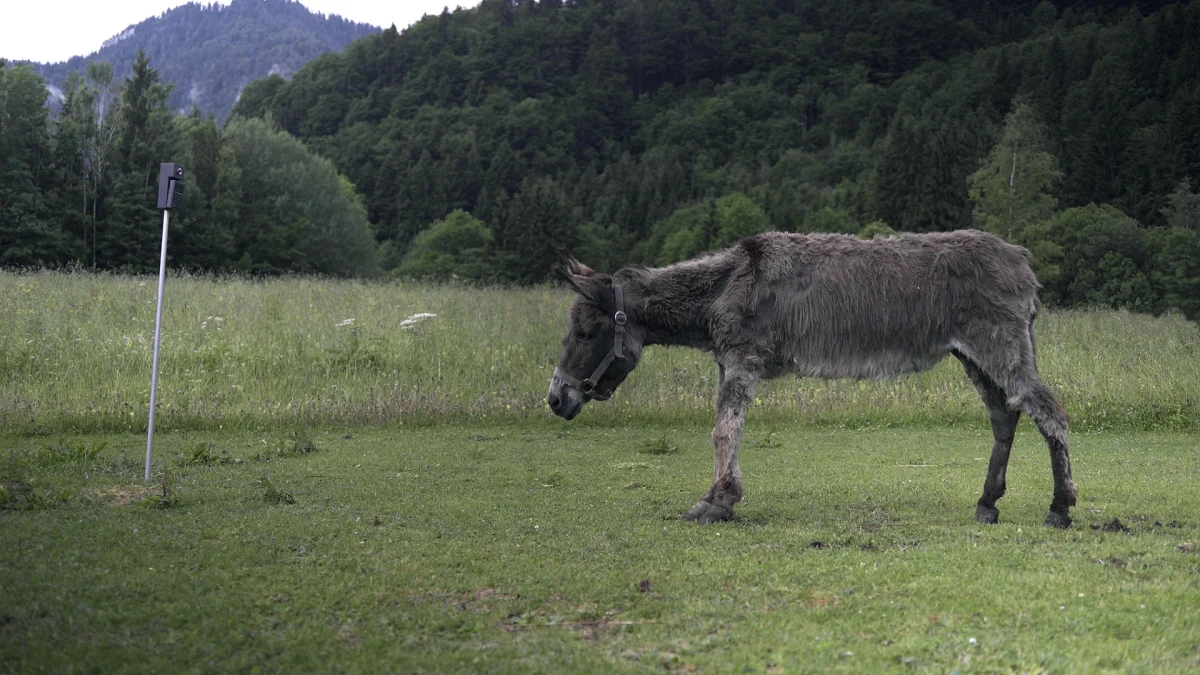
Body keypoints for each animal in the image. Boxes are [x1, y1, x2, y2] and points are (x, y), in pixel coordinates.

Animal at [547, 230, 1076, 527]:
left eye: (586, 332)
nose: (555, 399)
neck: (725, 283)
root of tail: (1020, 258)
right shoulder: (729, 362)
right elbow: (726, 430)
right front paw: (721, 497)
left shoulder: (741, 359)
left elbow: (724, 430)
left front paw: (716, 503)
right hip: (974, 356)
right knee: (1005, 417)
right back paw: (988, 504)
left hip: (997, 346)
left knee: (1050, 414)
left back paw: (1060, 508)